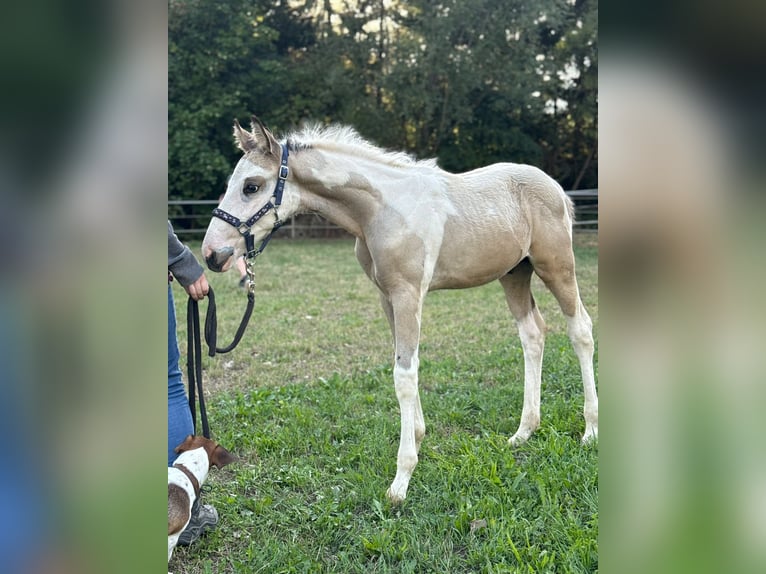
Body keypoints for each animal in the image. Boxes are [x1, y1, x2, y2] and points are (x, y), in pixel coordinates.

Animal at [202, 116, 598, 503]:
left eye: (252, 186)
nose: (212, 254)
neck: (382, 209)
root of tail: (556, 188)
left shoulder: (408, 294)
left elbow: (404, 375)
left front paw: (401, 480)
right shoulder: (387, 296)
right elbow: (402, 364)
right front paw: (418, 438)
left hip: (557, 267)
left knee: (581, 330)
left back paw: (590, 429)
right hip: (514, 274)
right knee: (532, 334)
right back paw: (524, 431)